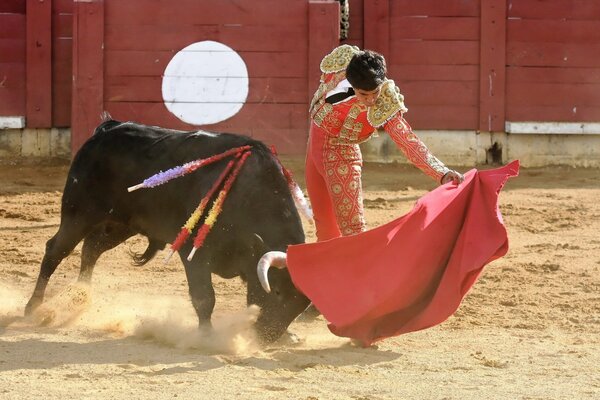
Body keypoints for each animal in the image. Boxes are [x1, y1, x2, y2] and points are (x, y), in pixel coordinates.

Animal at [24, 120, 310, 342]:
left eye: (301, 304)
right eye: (277, 291)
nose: (266, 337)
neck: (247, 194)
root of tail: (106, 129)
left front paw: (288, 335)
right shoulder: (194, 254)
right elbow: (204, 297)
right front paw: (206, 336)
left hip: (121, 225)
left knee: (91, 249)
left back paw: (81, 297)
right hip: (79, 214)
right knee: (55, 251)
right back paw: (32, 308)